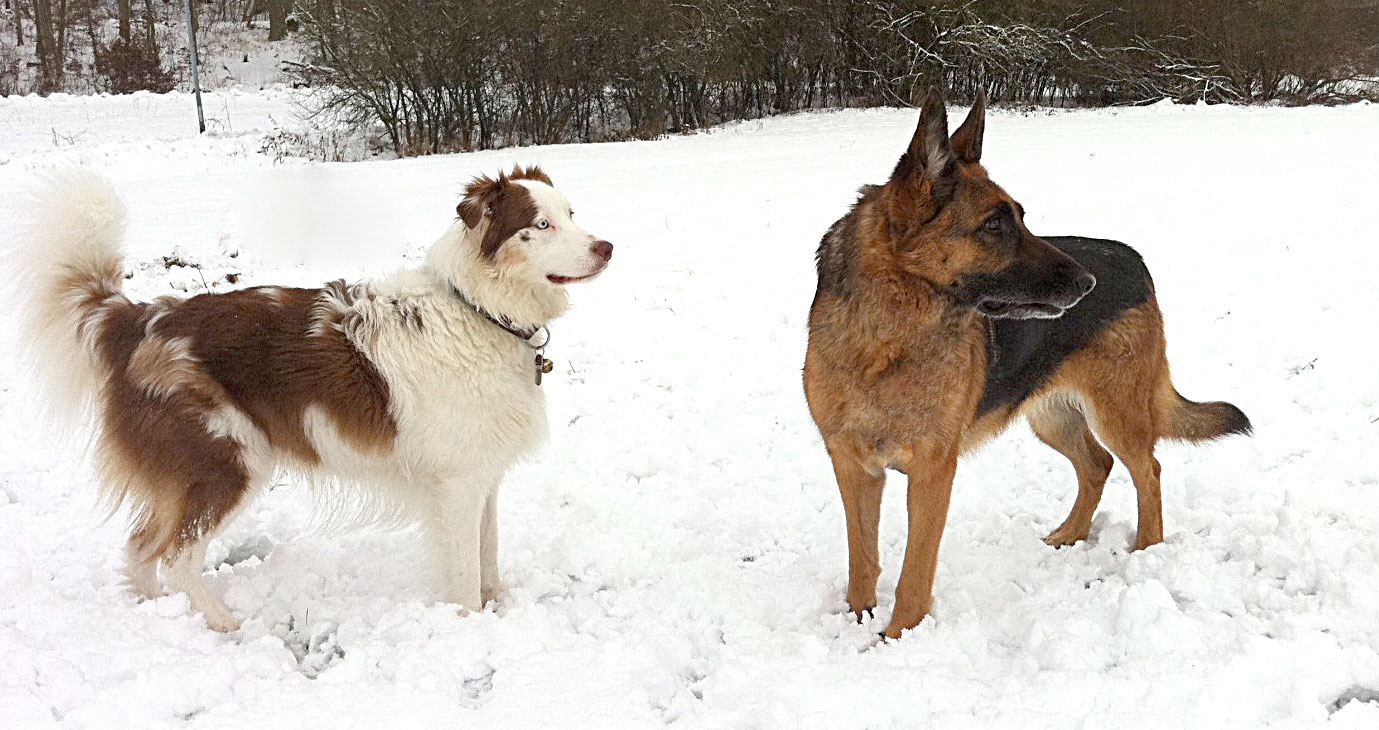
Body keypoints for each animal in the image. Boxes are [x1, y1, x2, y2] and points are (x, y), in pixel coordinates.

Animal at [10, 162, 612, 629]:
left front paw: (495, 608)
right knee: (177, 556)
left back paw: (157, 616)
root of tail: (142, 317)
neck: (478, 310)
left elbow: (488, 556)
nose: (607, 247)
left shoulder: (480, 476)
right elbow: (465, 572)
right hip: (226, 464)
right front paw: (468, 628)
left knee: (140, 547)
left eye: (572, 213)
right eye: (540, 224)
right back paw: (225, 627)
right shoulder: (457, 483)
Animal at [805, 88, 1257, 637]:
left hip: (1116, 413)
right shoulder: (853, 467)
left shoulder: (932, 472)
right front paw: (858, 621)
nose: (1087, 284)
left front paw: (898, 638)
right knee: (1098, 465)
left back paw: (1147, 550)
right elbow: (862, 560)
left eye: (1021, 216)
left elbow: (915, 572)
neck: (888, 342)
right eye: (995, 225)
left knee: (1146, 468)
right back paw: (1070, 534)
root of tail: (1135, 260)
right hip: (1052, 416)